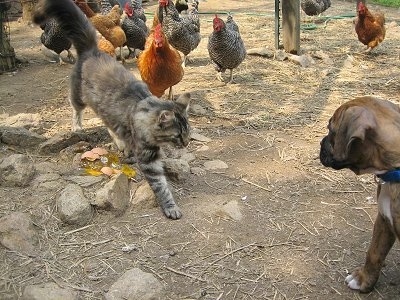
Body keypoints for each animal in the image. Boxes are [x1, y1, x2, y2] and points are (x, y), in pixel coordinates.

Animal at [33, 0, 191, 219]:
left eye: (188, 132)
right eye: (177, 136)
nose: (186, 143)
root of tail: (93, 50)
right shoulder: (148, 160)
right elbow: (161, 186)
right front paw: (171, 207)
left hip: (106, 110)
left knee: (110, 126)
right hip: (78, 97)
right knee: (76, 110)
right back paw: (77, 127)